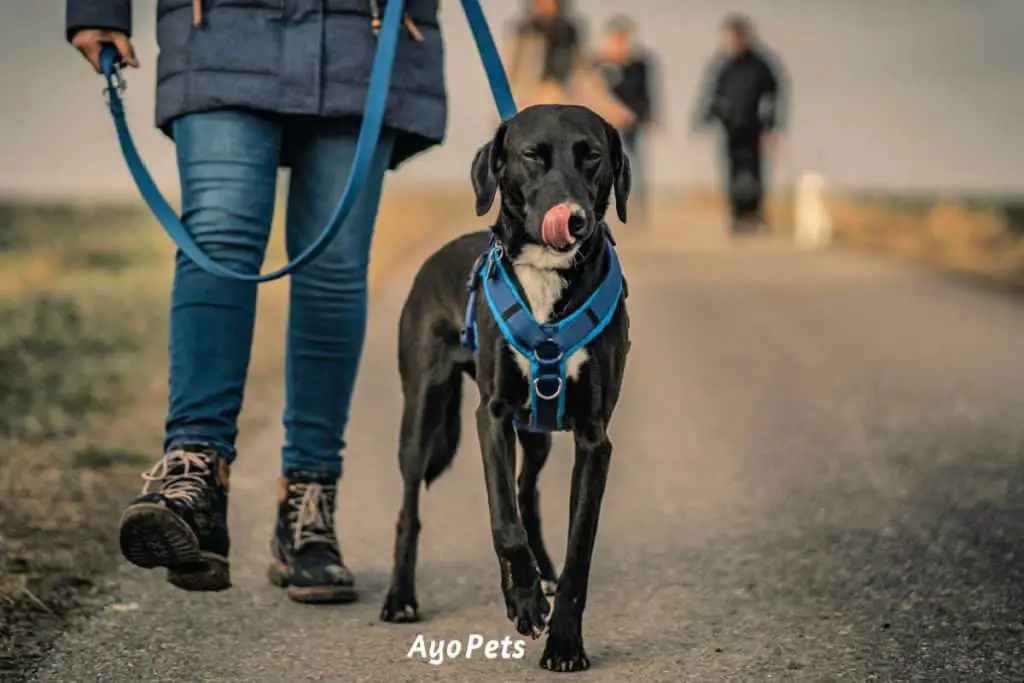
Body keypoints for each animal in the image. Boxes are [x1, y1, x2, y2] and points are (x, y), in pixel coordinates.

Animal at [380, 105, 626, 671]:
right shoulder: (490, 417)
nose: (574, 217)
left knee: (524, 489)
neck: (547, 275)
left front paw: (564, 641)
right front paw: (526, 601)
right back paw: (401, 597)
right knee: (412, 507)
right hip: (422, 415)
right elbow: (502, 523)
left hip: (534, 431)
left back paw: (539, 575)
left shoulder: (593, 437)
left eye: (592, 156)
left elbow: (578, 547)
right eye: (532, 155)